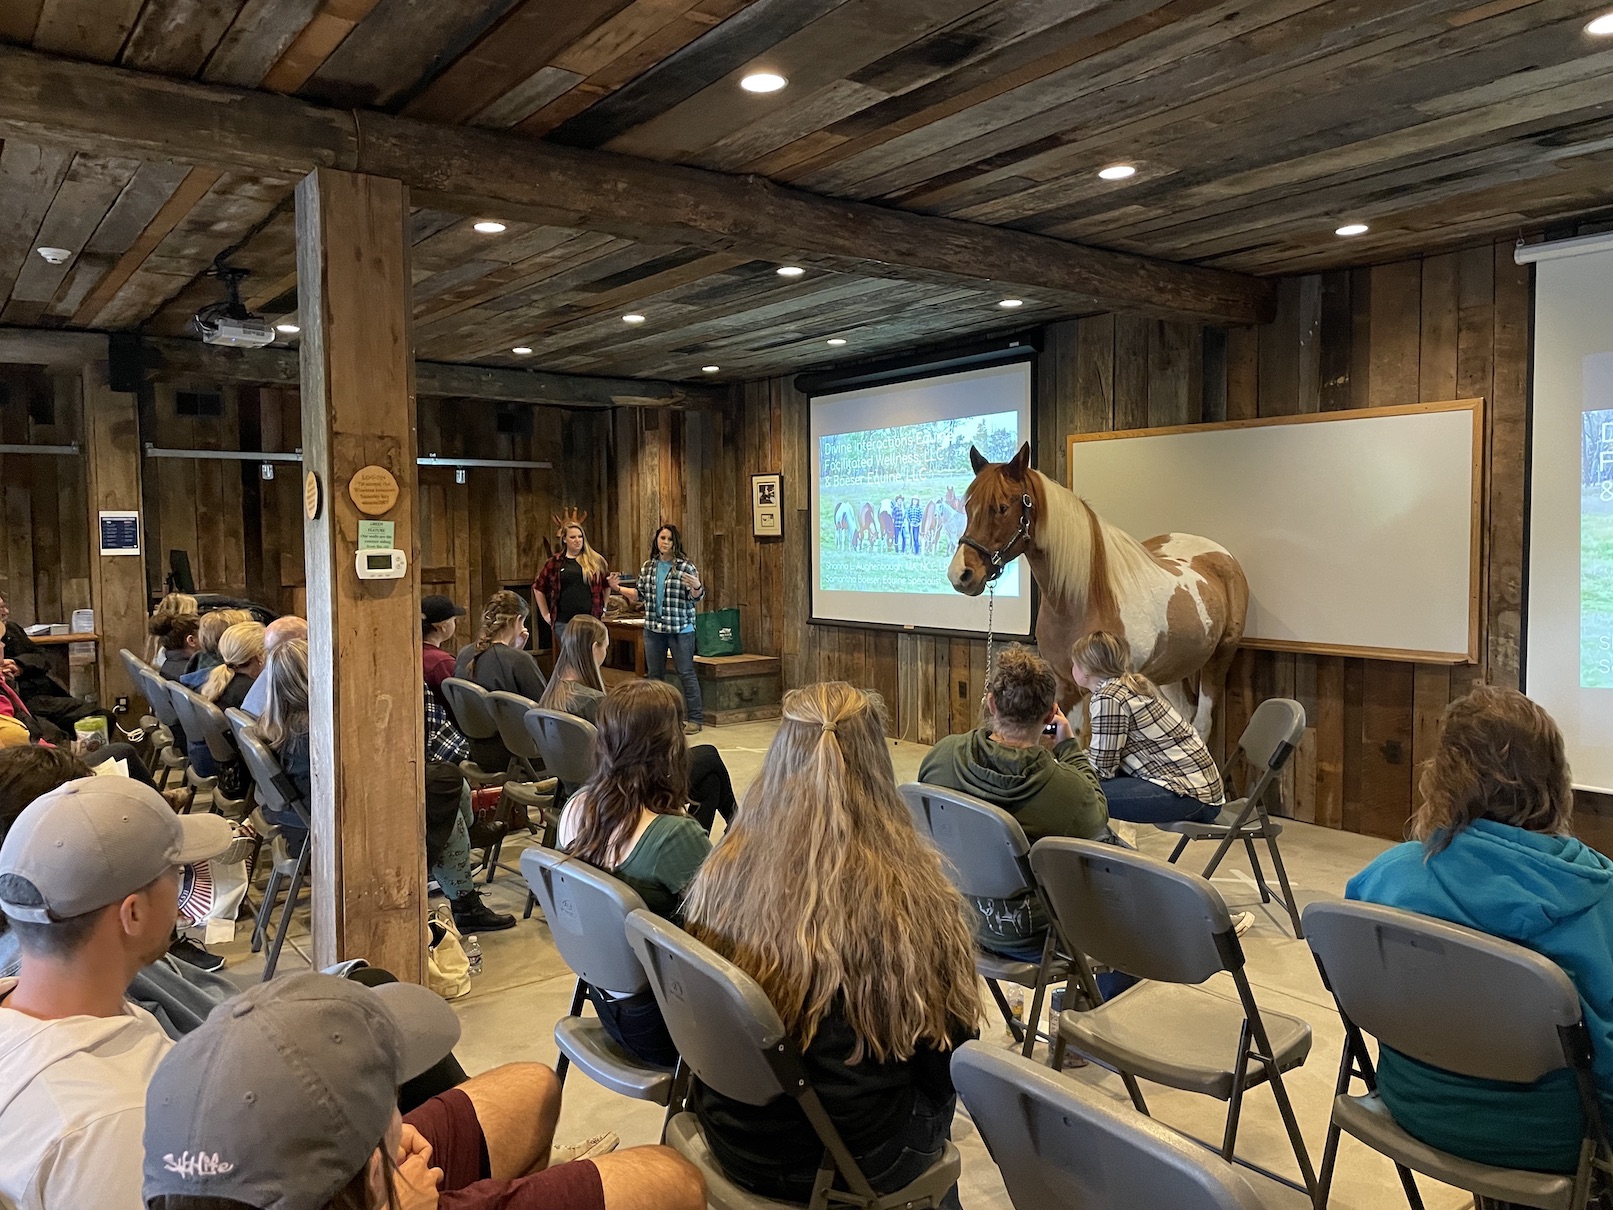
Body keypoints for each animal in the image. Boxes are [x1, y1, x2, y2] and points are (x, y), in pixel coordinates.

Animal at [941, 442, 1245, 735]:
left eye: (1002, 507)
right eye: (968, 507)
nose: (961, 574)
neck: (1086, 599)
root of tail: (1220, 554)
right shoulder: (1067, 685)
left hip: (1220, 657)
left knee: (1202, 722)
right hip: (1172, 668)